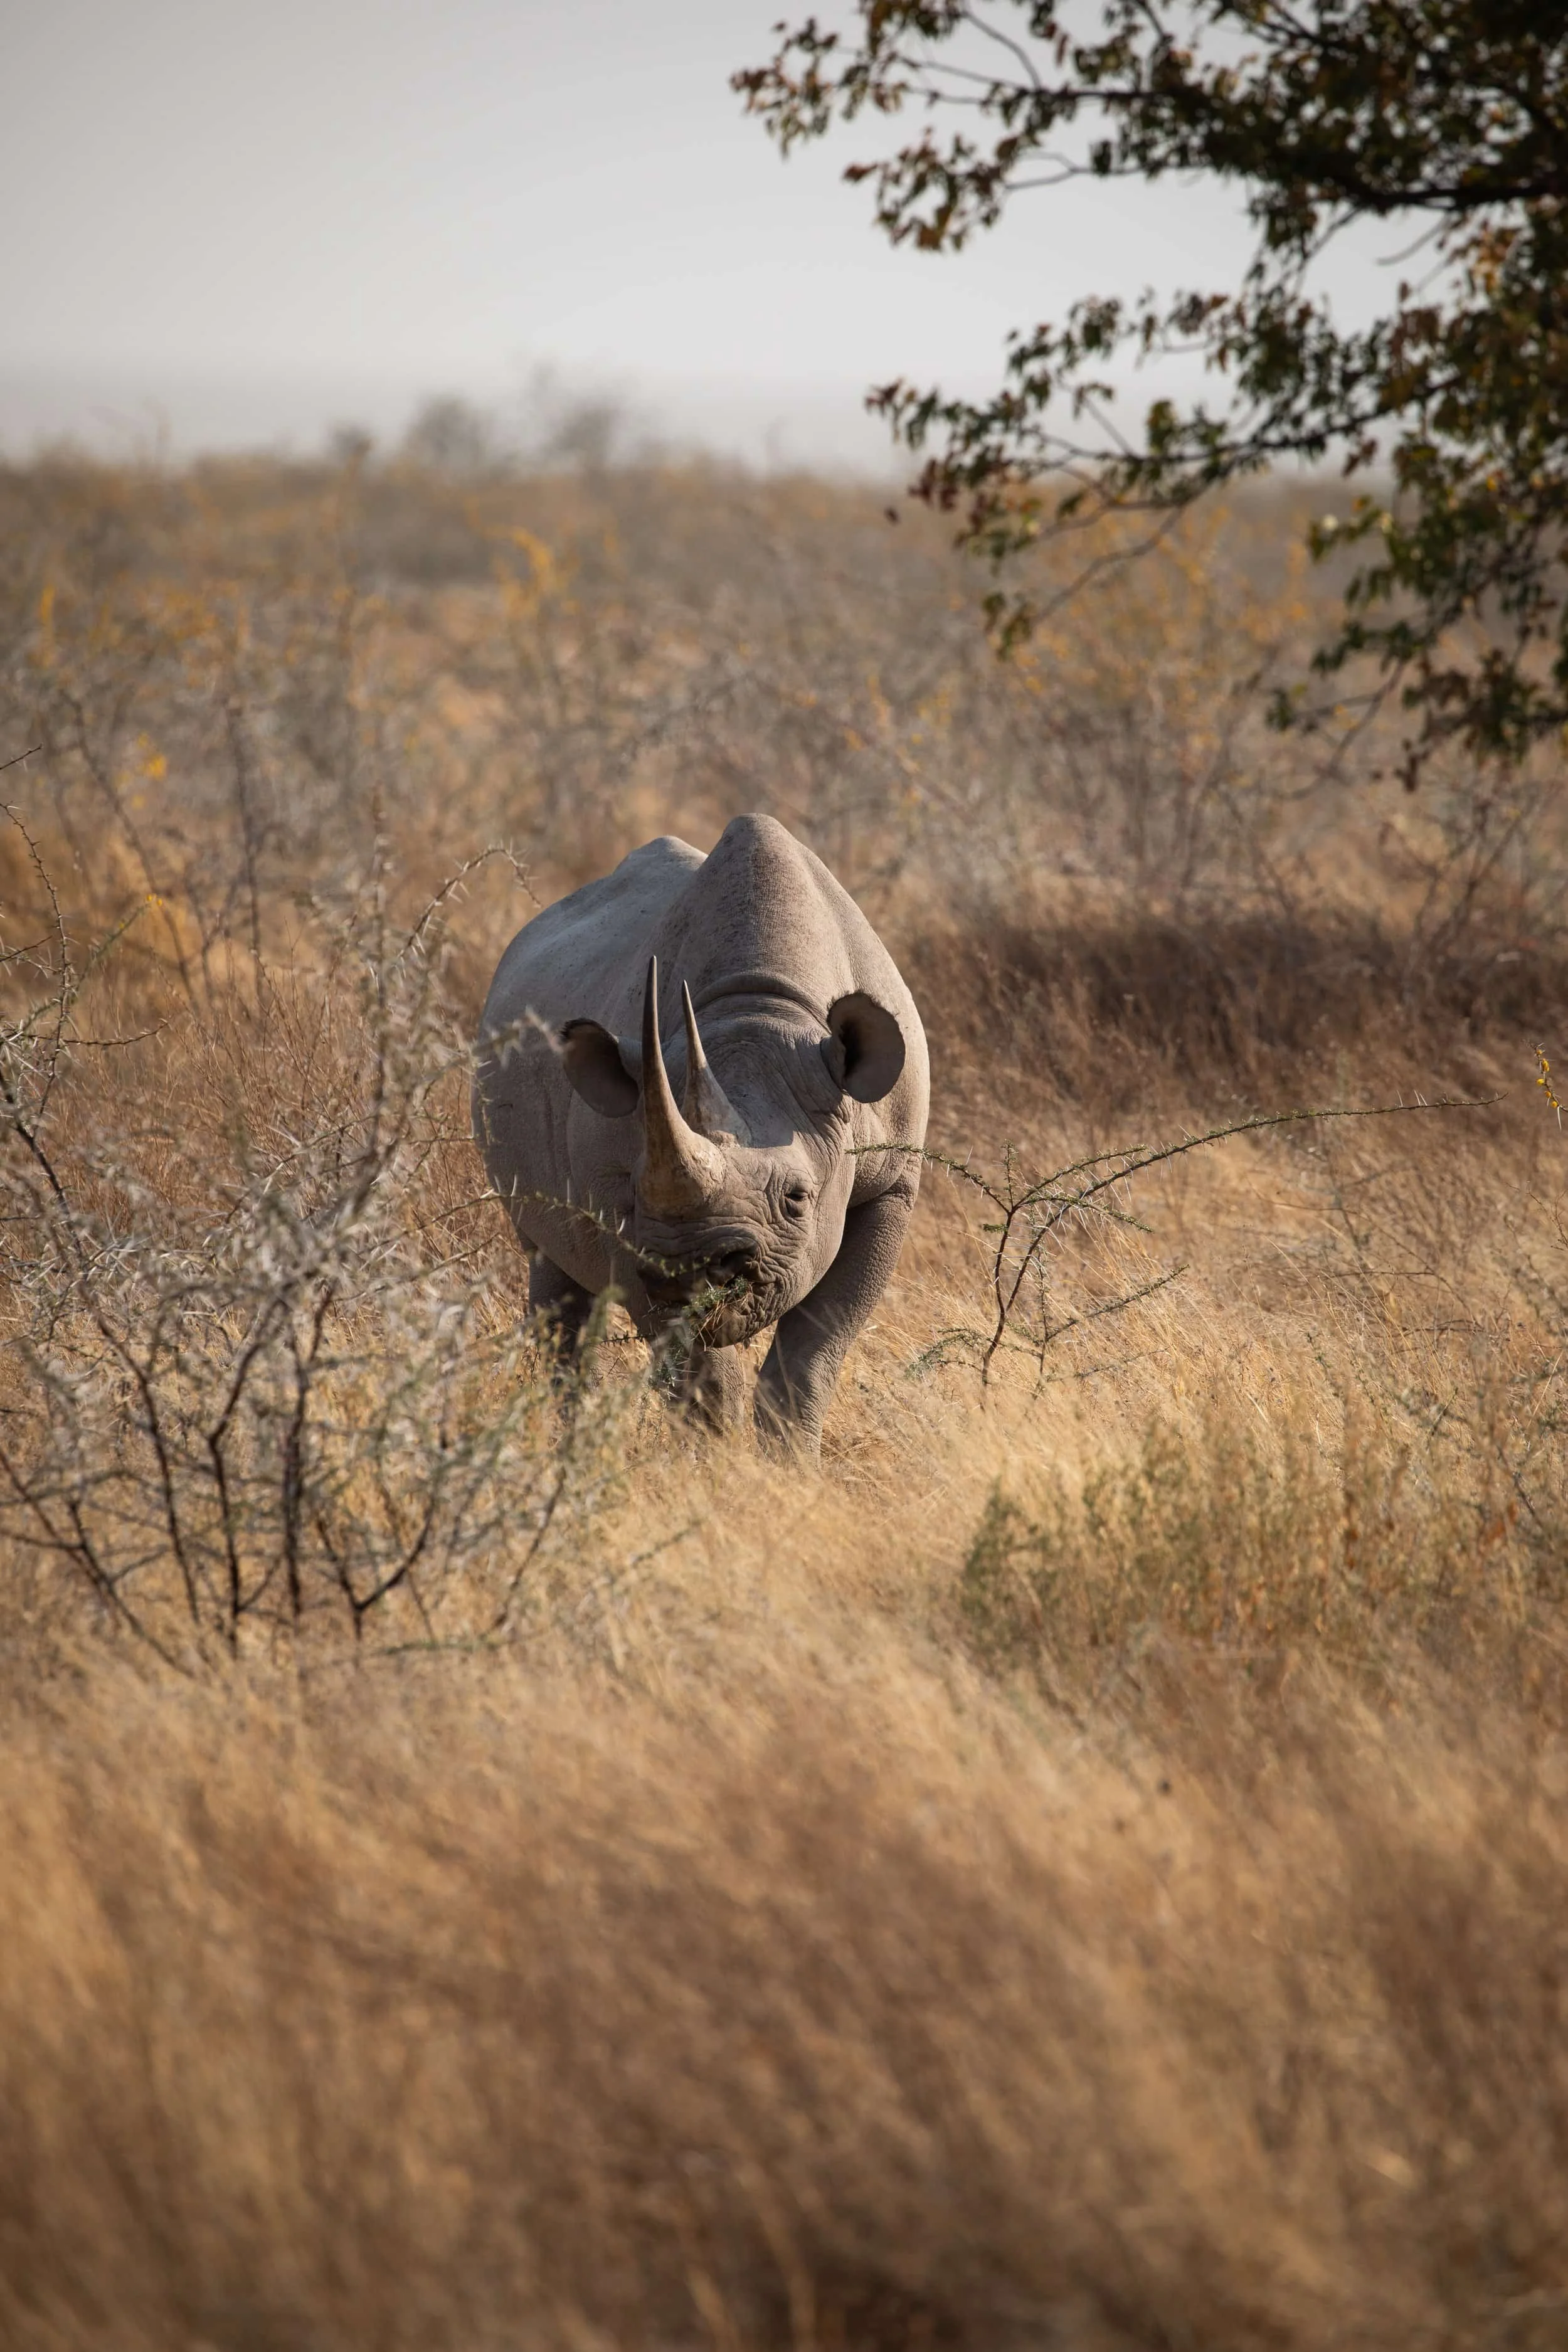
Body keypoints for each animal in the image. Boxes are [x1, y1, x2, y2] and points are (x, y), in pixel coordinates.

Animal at [473, 813, 929, 1454]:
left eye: (798, 1199)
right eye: (634, 1192)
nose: (693, 1269)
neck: (759, 1010)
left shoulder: (892, 1185)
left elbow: (816, 1348)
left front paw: (789, 1465)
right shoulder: (628, 1224)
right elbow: (696, 1372)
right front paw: (720, 1463)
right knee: (551, 1268)